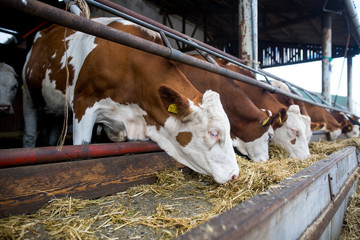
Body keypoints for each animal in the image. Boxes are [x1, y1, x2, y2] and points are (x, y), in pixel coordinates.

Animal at [23, 17, 240, 184]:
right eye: (213, 133)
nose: (235, 174)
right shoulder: (83, 105)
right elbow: (82, 146)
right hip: (28, 96)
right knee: (30, 134)